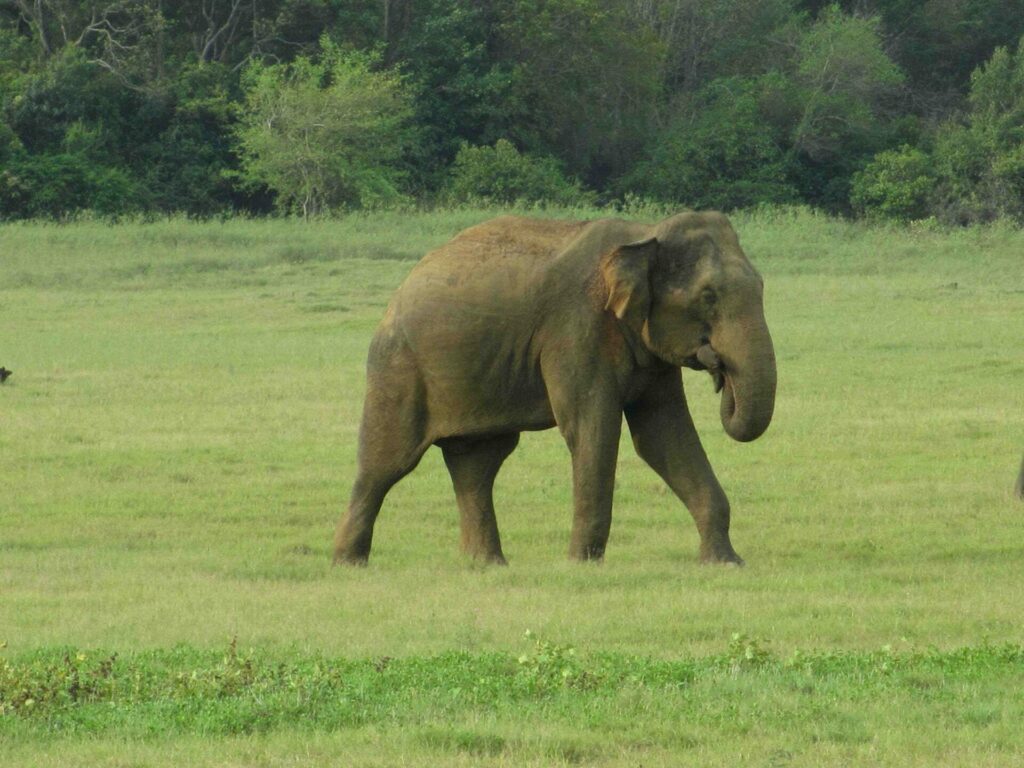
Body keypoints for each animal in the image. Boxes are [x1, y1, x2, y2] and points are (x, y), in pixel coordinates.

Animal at [335, 210, 774, 565]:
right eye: (708, 296)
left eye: (762, 286)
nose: (718, 369)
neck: (645, 233)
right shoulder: (576, 329)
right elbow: (592, 428)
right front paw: (582, 564)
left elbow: (663, 435)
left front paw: (726, 562)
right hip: (399, 369)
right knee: (386, 463)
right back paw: (348, 563)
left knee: (478, 463)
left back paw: (488, 564)